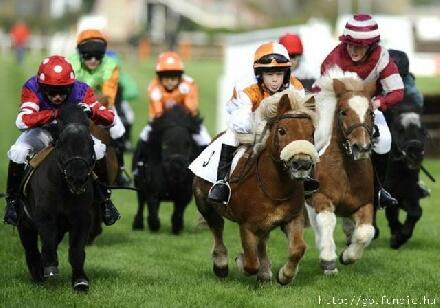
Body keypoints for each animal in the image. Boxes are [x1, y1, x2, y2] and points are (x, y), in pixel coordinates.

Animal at [17, 104, 96, 290]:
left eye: (90, 142)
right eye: (61, 143)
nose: (77, 177)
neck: (64, 190)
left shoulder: (82, 218)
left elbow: (77, 250)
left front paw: (80, 281)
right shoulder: (44, 216)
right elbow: (47, 240)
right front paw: (49, 268)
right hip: (24, 223)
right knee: (31, 247)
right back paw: (37, 270)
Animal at [132, 104, 201, 235]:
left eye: (188, 144)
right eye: (164, 144)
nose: (177, 167)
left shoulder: (185, 195)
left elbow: (177, 214)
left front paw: (177, 228)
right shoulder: (152, 191)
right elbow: (152, 214)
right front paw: (154, 227)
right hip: (139, 185)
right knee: (140, 204)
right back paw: (137, 225)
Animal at [192, 90, 316, 286]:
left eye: (312, 132)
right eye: (282, 130)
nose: (302, 164)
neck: (274, 188)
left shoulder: (293, 218)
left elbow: (298, 248)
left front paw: (285, 275)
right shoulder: (247, 225)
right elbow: (251, 263)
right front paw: (240, 261)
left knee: (262, 241)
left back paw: (265, 272)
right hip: (204, 203)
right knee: (217, 227)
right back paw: (221, 264)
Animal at [382, 100, 426, 249]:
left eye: (423, 131)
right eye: (399, 130)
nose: (415, 153)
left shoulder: (407, 193)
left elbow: (416, 212)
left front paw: (399, 238)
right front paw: (396, 238)